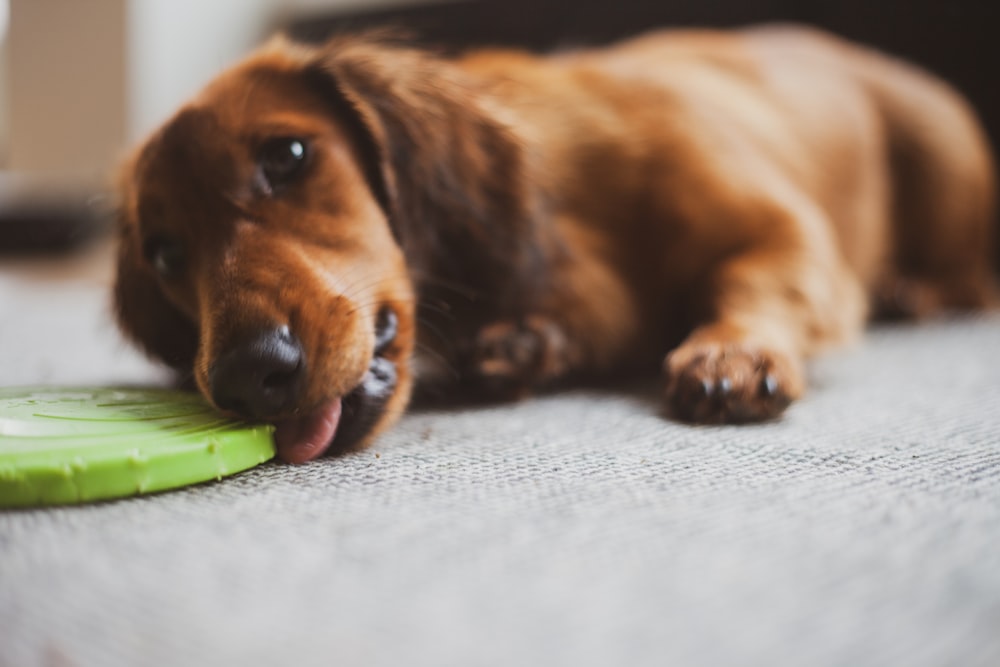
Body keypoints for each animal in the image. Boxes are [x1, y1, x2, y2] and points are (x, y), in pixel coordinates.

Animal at [113, 26, 996, 464]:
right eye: (163, 252)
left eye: (287, 155)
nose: (246, 376)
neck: (571, 221)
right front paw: (527, 345)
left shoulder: (788, 235)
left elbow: (751, 285)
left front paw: (732, 353)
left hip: (943, 155)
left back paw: (916, 290)